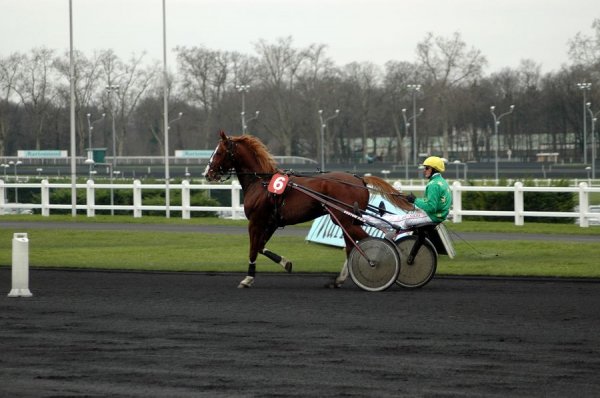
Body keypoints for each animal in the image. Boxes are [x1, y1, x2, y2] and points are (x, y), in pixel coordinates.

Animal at [203, 132, 412, 288]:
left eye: (219, 152)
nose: (207, 173)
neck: (261, 182)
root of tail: (359, 179)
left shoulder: (256, 222)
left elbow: (254, 249)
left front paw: (248, 278)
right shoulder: (271, 222)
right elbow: (261, 247)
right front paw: (286, 263)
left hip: (343, 219)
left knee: (366, 241)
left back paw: (374, 265)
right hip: (345, 220)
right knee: (352, 245)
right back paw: (340, 279)